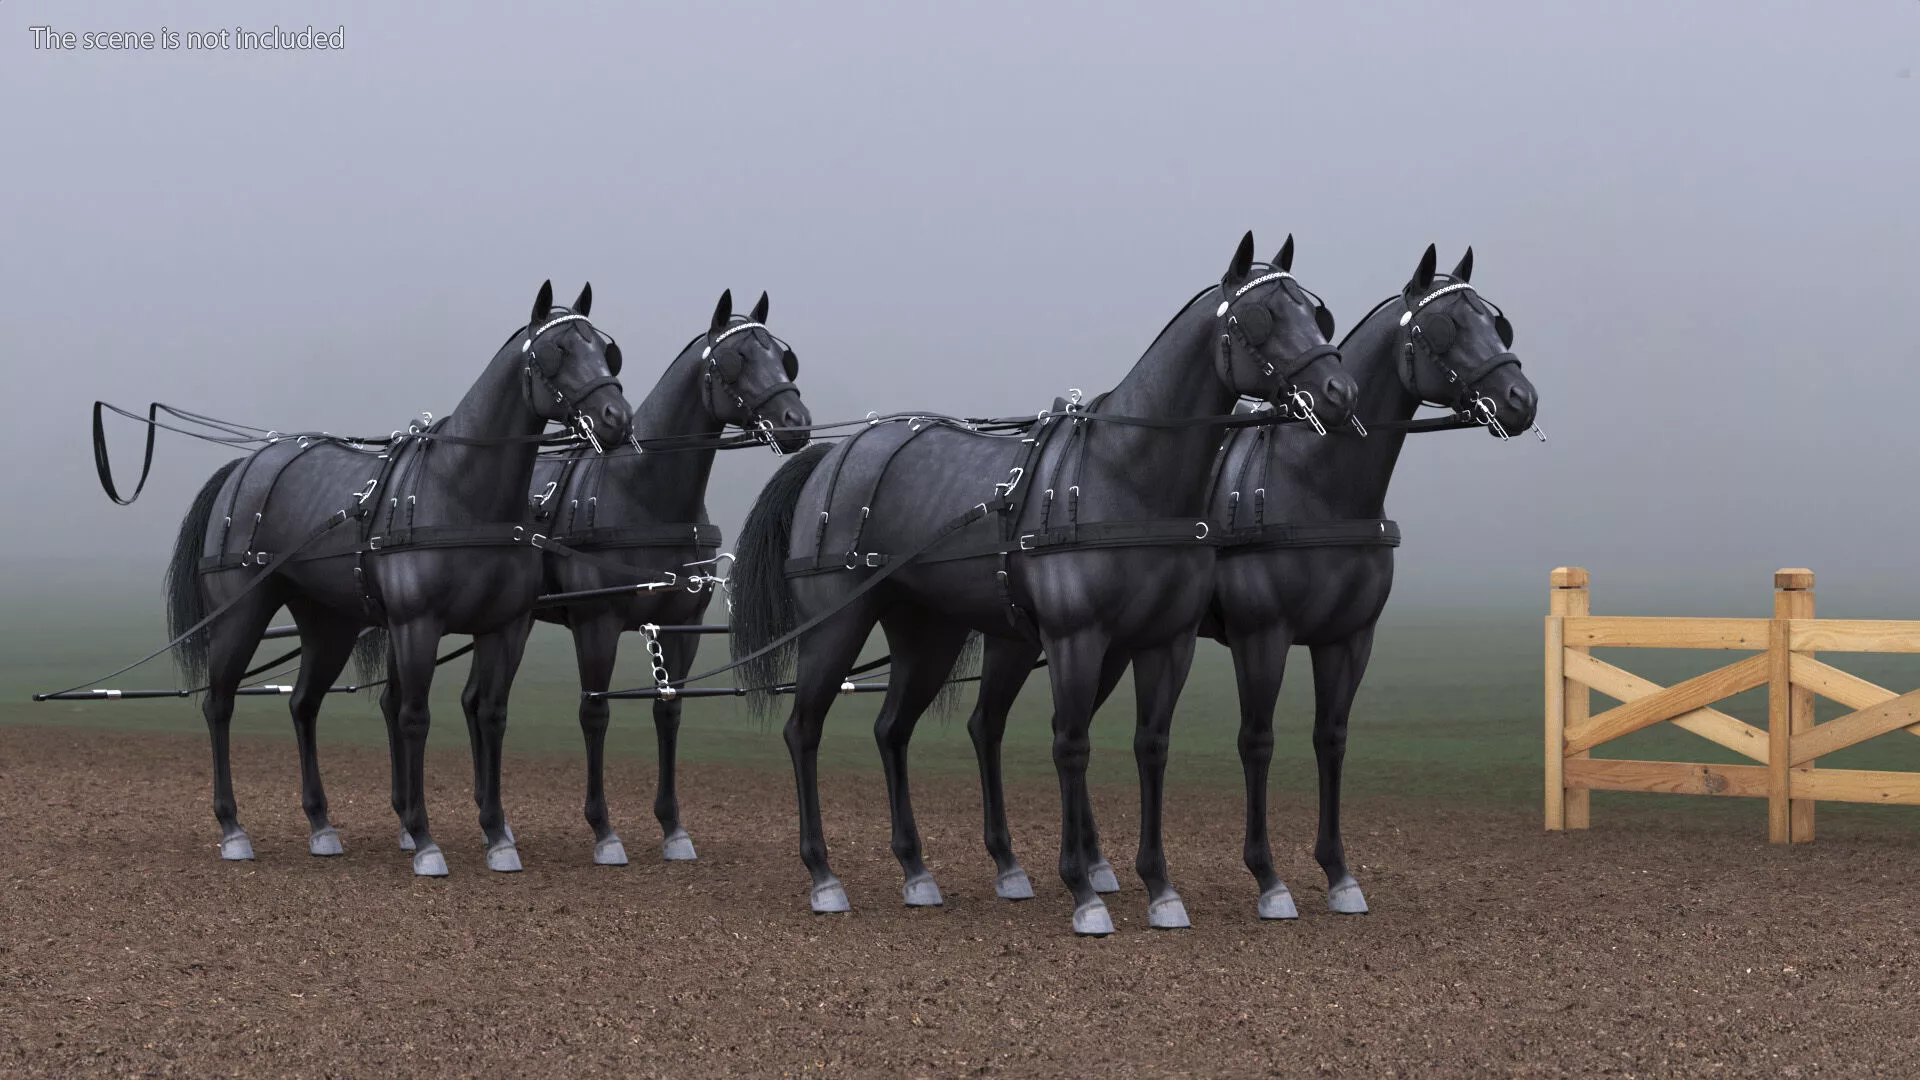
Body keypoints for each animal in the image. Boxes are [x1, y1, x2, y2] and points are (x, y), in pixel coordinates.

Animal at [164, 281, 635, 877]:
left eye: (604, 350)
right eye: (556, 351)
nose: (617, 416)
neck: (462, 494)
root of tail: (248, 464)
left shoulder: (505, 627)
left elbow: (492, 715)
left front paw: (497, 835)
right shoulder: (417, 626)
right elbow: (414, 717)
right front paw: (424, 837)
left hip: (330, 625)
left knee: (303, 705)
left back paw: (321, 825)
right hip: (240, 615)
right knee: (219, 704)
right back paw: (232, 828)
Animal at [526, 288, 812, 867]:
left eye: (781, 355)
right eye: (737, 358)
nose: (796, 421)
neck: (641, 493)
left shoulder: (682, 625)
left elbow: (669, 712)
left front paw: (673, 827)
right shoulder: (596, 623)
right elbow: (596, 712)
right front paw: (603, 829)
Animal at [729, 232, 1357, 935]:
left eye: (1315, 313)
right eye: (1260, 319)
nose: (1339, 389)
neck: (1126, 475)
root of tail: (836, 452)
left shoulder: (1166, 642)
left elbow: (1151, 747)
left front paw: (1160, 887)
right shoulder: (1076, 638)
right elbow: (1071, 745)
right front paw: (1083, 890)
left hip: (929, 634)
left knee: (894, 729)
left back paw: (918, 870)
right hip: (838, 623)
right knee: (803, 729)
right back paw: (823, 874)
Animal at [968, 244, 1541, 920]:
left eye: (1494, 323)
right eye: (1446, 327)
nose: (1521, 398)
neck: (1313, 483)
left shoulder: (1349, 639)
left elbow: (1330, 740)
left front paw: (1339, 873)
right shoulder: (1261, 634)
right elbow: (1257, 741)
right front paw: (1268, 878)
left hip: (1109, 645)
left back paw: (1096, 866)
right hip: (1033, 638)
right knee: (996, 725)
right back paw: (1020, 864)